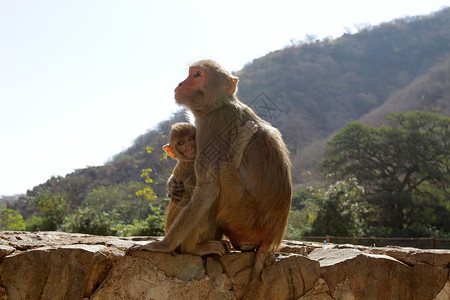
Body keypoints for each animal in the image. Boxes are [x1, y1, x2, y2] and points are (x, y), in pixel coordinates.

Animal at [130, 59, 292, 298]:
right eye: (190, 73)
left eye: (197, 75)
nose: (181, 83)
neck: (217, 106)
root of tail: (269, 237)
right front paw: (172, 186)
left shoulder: (210, 128)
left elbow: (207, 189)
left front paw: (161, 246)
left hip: (240, 215)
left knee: (211, 181)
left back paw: (194, 248)